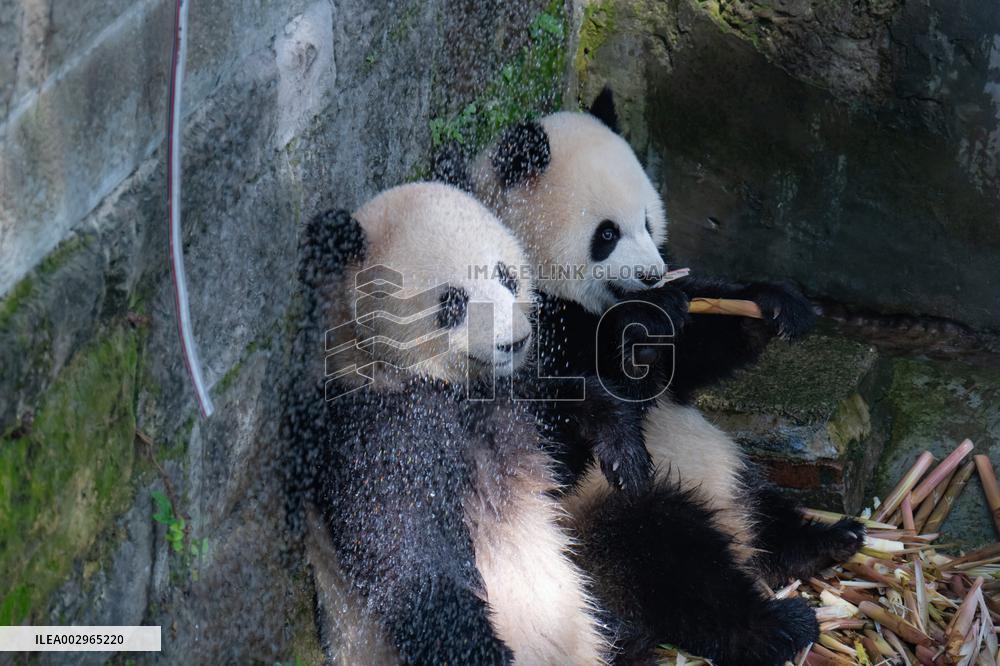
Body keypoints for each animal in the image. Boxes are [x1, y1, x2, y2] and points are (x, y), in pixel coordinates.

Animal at [293, 182, 610, 665]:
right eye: (453, 301)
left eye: (506, 276)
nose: (514, 341)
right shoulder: (376, 430)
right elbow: (405, 559)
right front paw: (486, 651)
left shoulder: (512, 401)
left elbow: (562, 452)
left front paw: (621, 442)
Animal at [434, 89, 863, 663]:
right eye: (606, 234)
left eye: (647, 221)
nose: (653, 274)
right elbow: (548, 440)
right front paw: (620, 412)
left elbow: (688, 354)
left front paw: (773, 304)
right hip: (593, 531)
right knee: (672, 554)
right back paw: (776, 625)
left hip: (721, 464)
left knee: (758, 496)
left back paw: (820, 541)